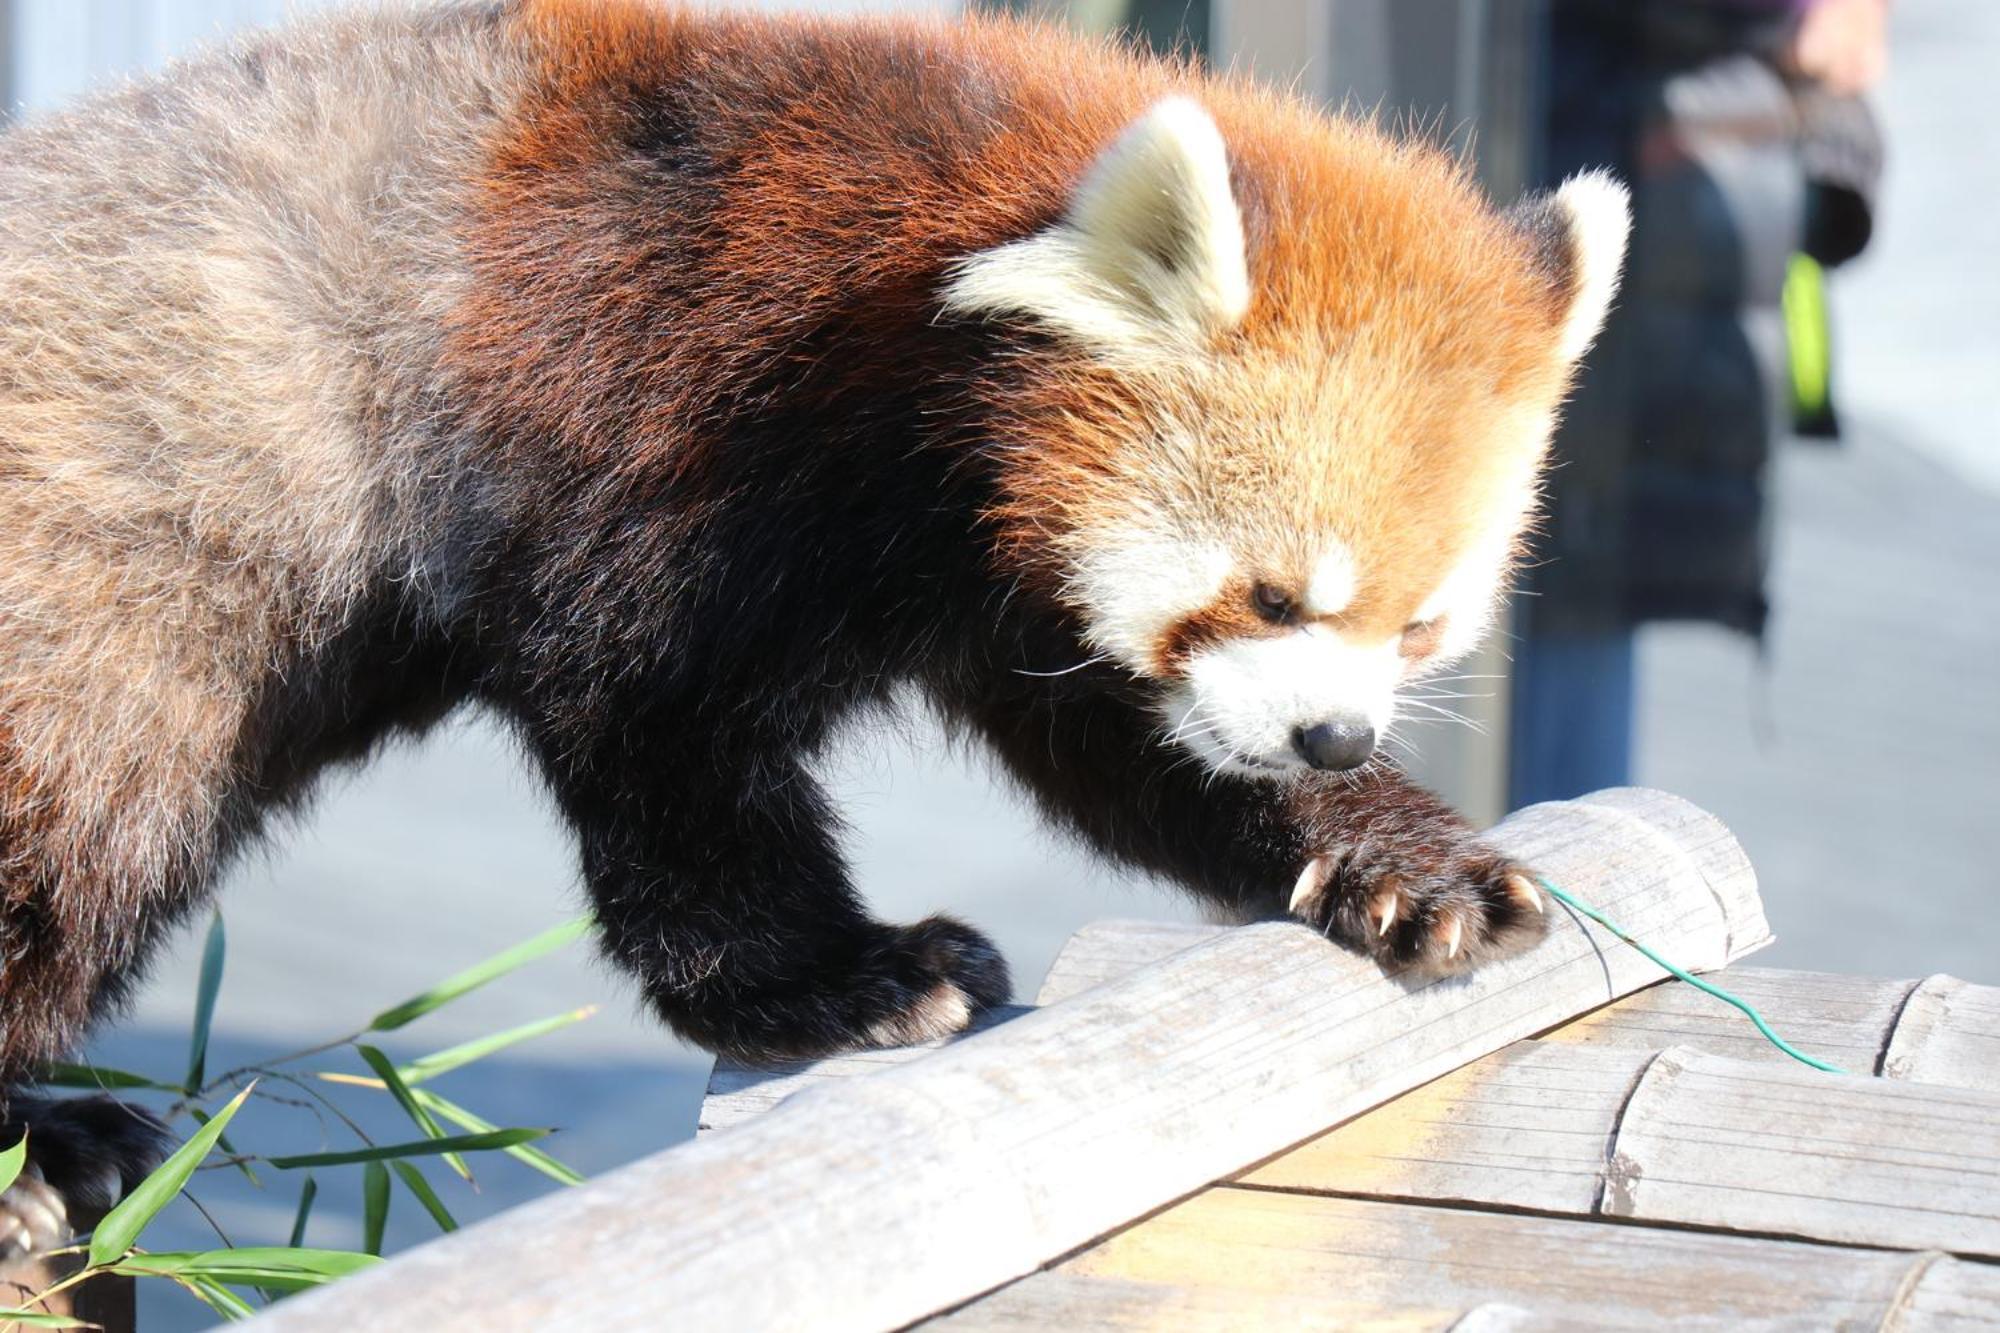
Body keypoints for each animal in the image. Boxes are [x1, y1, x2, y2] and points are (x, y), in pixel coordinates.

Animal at [0, 0, 1624, 1248]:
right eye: (1276, 594)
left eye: (1419, 627)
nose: (1331, 733)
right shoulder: (664, 406)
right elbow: (660, 736)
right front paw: (851, 982)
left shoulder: (997, 583)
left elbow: (1130, 745)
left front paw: (1402, 862)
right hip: (104, 612)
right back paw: (47, 1151)